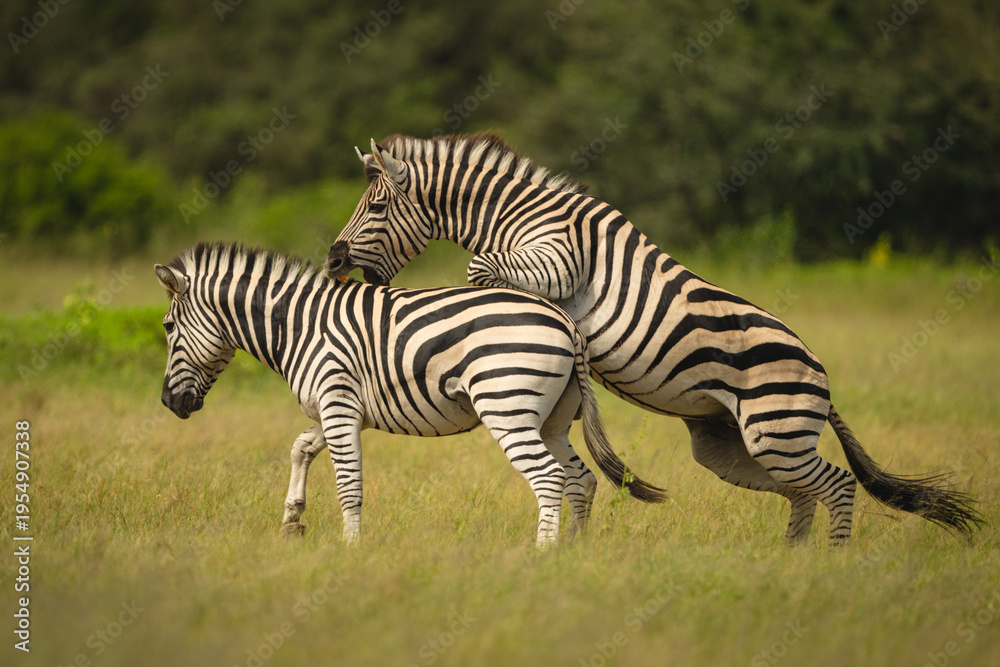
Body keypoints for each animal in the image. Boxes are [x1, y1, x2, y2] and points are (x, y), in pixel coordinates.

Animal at [155, 241, 666, 546]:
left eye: (167, 327)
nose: (168, 403)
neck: (299, 326)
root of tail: (565, 321)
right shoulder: (337, 409)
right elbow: (300, 447)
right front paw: (292, 518)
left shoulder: (338, 403)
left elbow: (348, 483)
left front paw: (349, 549)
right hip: (553, 420)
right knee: (583, 479)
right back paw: (572, 551)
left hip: (508, 407)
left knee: (549, 477)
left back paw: (541, 555)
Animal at [324, 133, 982, 545]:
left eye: (376, 207)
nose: (332, 258)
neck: (518, 215)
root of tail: (817, 365)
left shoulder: (561, 261)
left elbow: (478, 270)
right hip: (732, 444)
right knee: (803, 493)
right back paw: (792, 563)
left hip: (777, 430)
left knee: (837, 485)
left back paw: (831, 567)